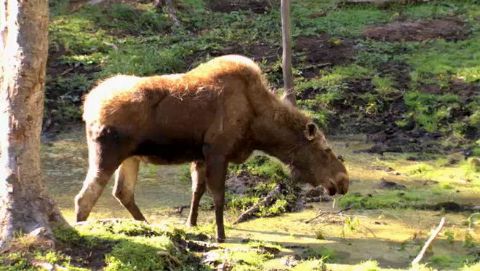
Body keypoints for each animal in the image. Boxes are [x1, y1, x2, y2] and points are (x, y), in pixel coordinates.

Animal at [77, 54, 350, 242]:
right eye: (325, 150)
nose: (344, 180)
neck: (258, 128)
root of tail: (88, 106)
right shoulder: (218, 151)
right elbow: (219, 196)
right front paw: (221, 235)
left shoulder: (200, 156)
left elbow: (197, 191)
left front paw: (192, 224)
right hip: (107, 153)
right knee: (85, 197)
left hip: (131, 157)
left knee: (123, 192)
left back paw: (147, 226)